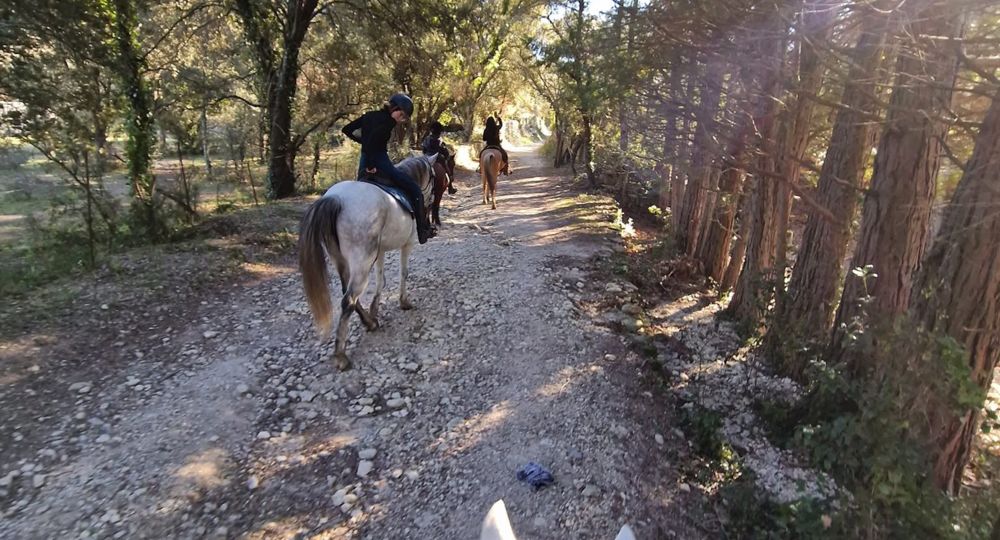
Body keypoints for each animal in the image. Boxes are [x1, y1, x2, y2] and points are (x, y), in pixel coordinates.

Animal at [298, 154, 437, 370]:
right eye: (433, 176)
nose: (431, 202)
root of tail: (335, 199)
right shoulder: (407, 244)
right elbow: (403, 273)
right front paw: (404, 302)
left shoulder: (379, 252)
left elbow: (380, 278)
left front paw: (375, 308)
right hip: (362, 261)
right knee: (348, 300)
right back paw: (341, 355)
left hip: (343, 260)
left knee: (349, 295)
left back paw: (369, 322)